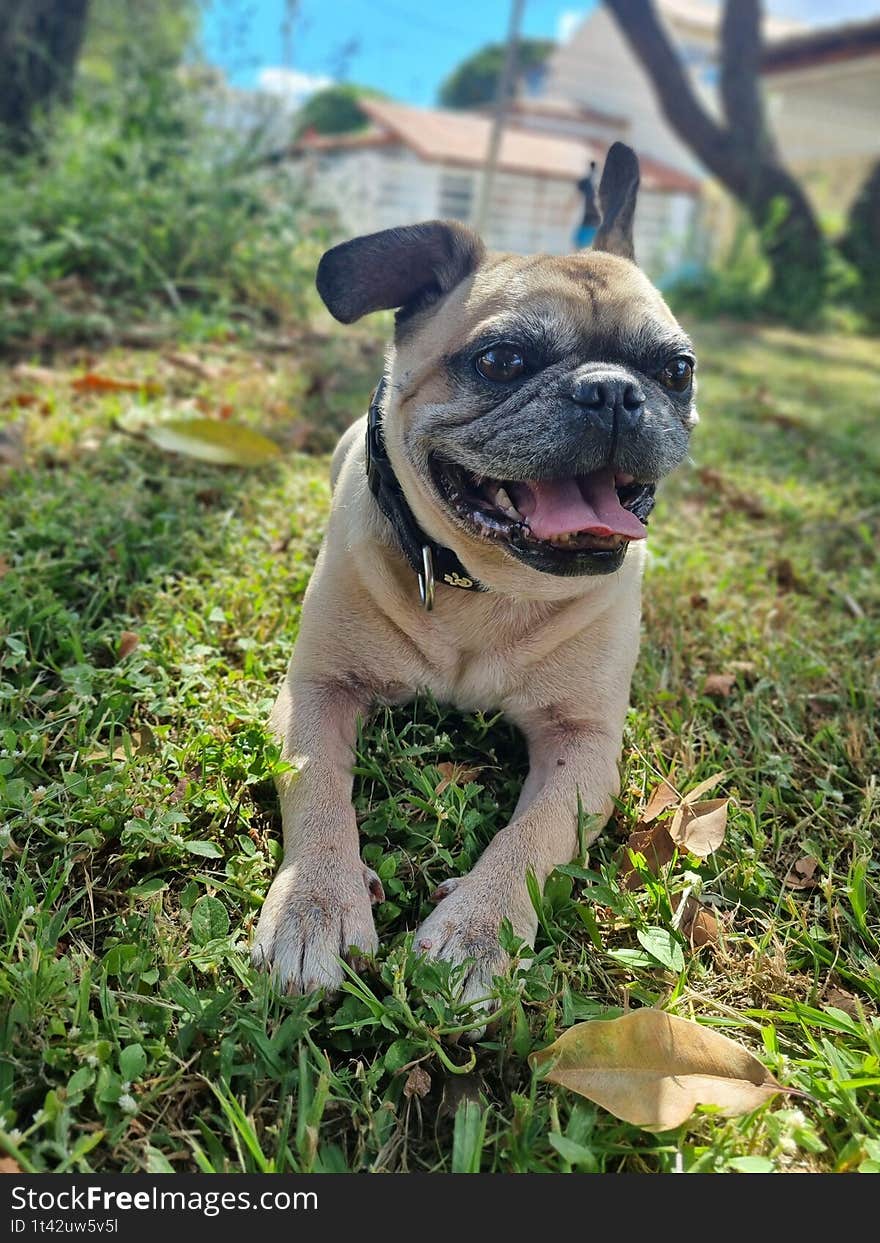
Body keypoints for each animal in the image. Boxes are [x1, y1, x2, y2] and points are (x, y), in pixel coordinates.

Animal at [251, 141, 696, 1004]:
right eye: (501, 360)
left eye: (677, 370)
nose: (612, 391)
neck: (486, 586)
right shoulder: (318, 692)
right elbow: (319, 787)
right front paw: (314, 902)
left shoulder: (583, 744)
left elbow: (535, 834)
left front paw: (480, 929)